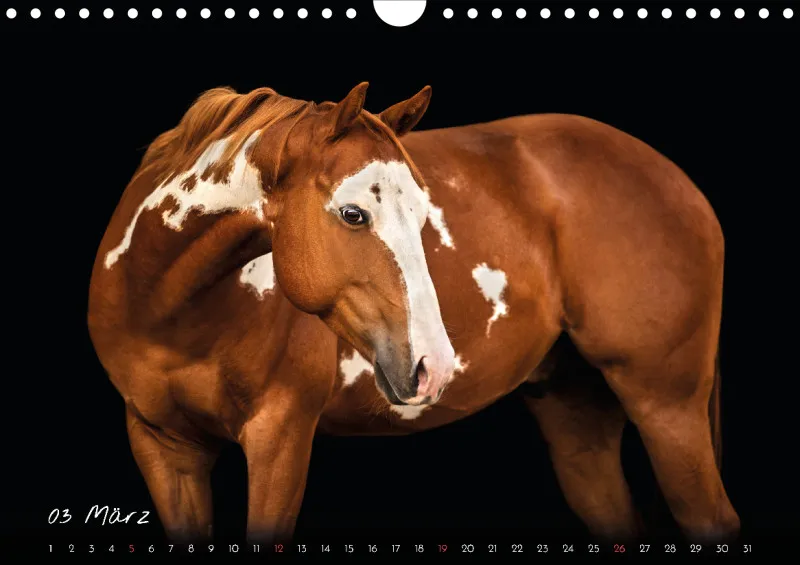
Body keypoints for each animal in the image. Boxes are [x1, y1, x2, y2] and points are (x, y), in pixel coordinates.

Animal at [87, 83, 740, 545]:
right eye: (353, 214)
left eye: (426, 213)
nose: (435, 367)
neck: (172, 313)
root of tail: (680, 183)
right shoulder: (163, 447)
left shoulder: (280, 436)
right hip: (576, 415)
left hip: (666, 406)